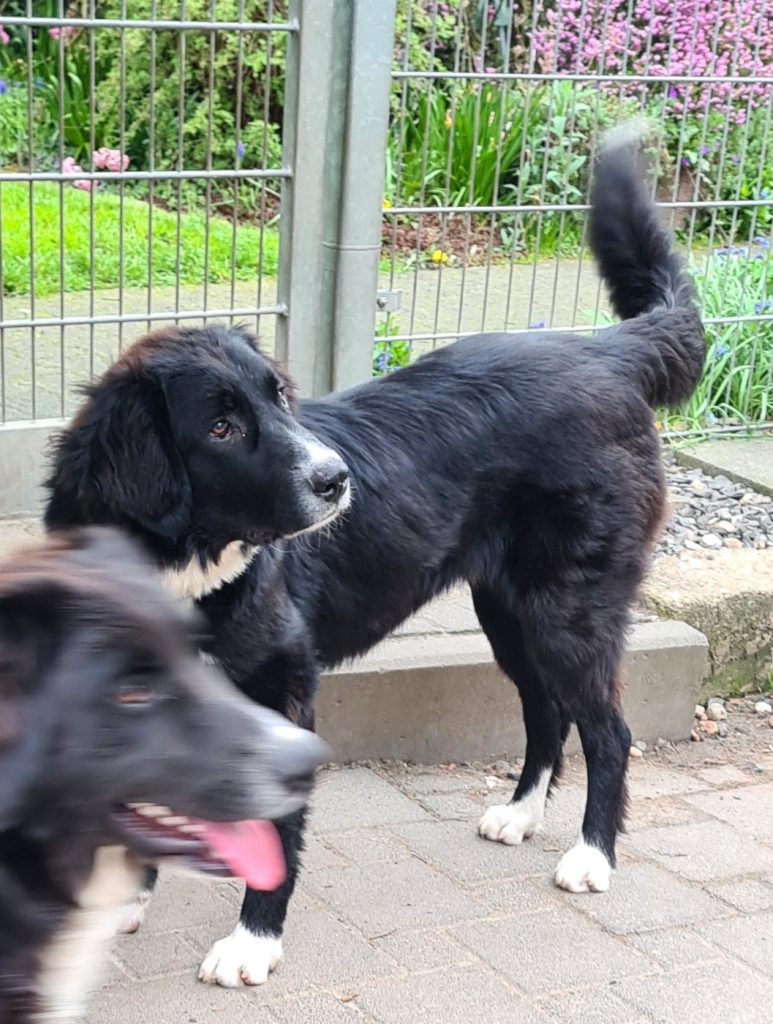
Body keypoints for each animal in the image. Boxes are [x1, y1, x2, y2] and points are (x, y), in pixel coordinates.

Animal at [43, 133, 705, 987]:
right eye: (221, 427)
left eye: (279, 398)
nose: (336, 480)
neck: (188, 566)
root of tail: (605, 353)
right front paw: (129, 895)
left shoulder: (283, 688)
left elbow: (274, 831)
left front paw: (252, 941)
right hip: (508, 611)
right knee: (545, 711)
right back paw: (520, 813)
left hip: (569, 610)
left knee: (607, 731)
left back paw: (592, 856)